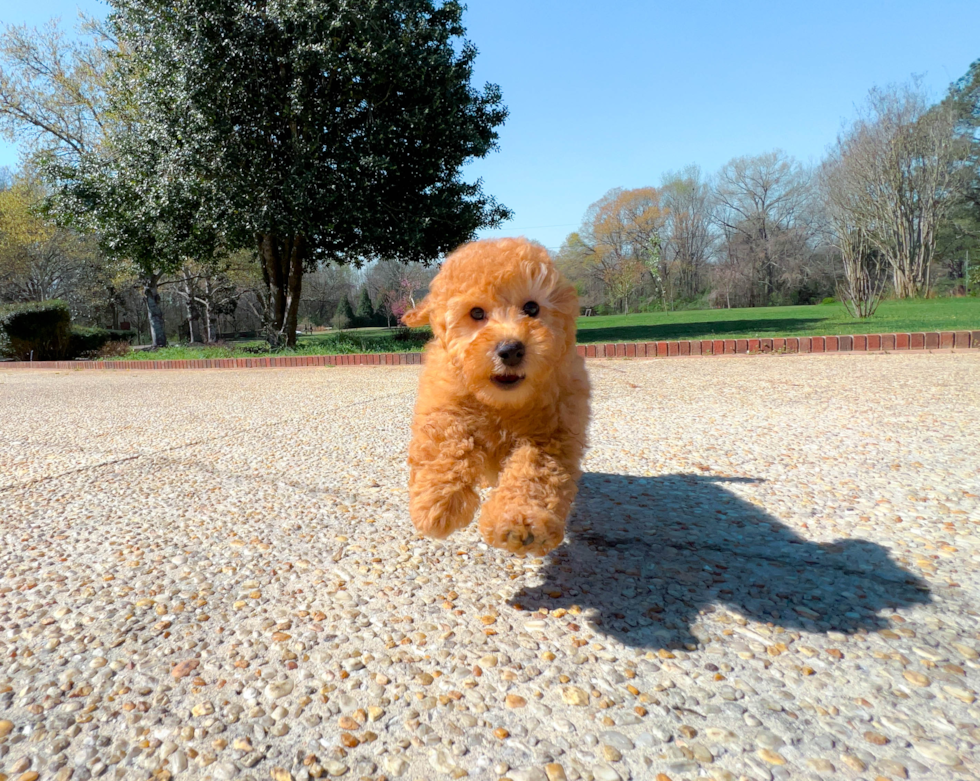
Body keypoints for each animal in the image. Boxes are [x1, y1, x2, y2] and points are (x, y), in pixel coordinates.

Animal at [400, 238, 588, 556]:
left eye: (531, 307)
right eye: (476, 313)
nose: (511, 350)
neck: (500, 403)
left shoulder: (555, 428)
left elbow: (535, 470)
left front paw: (520, 522)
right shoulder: (444, 398)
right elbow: (445, 441)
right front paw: (438, 504)